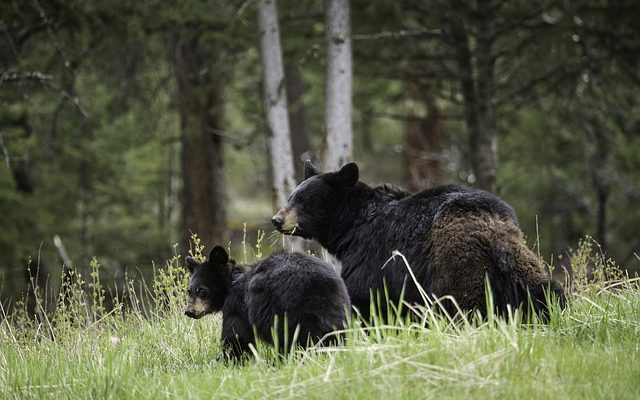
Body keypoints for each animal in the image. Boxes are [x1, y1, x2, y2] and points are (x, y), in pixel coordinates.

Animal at [182, 245, 350, 360]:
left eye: (202, 290)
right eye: (189, 290)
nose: (189, 311)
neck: (232, 281)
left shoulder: (238, 305)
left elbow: (237, 336)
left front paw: (230, 359)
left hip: (286, 310)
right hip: (338, 308)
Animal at [270, 161, 564, 320]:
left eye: (305, 200)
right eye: (291, 197)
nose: (277, 219)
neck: (351, 226)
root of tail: (494, 232)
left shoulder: (371, 254)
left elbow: (364, 295)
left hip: (456, 263)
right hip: (521, 263)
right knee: (545, 291)